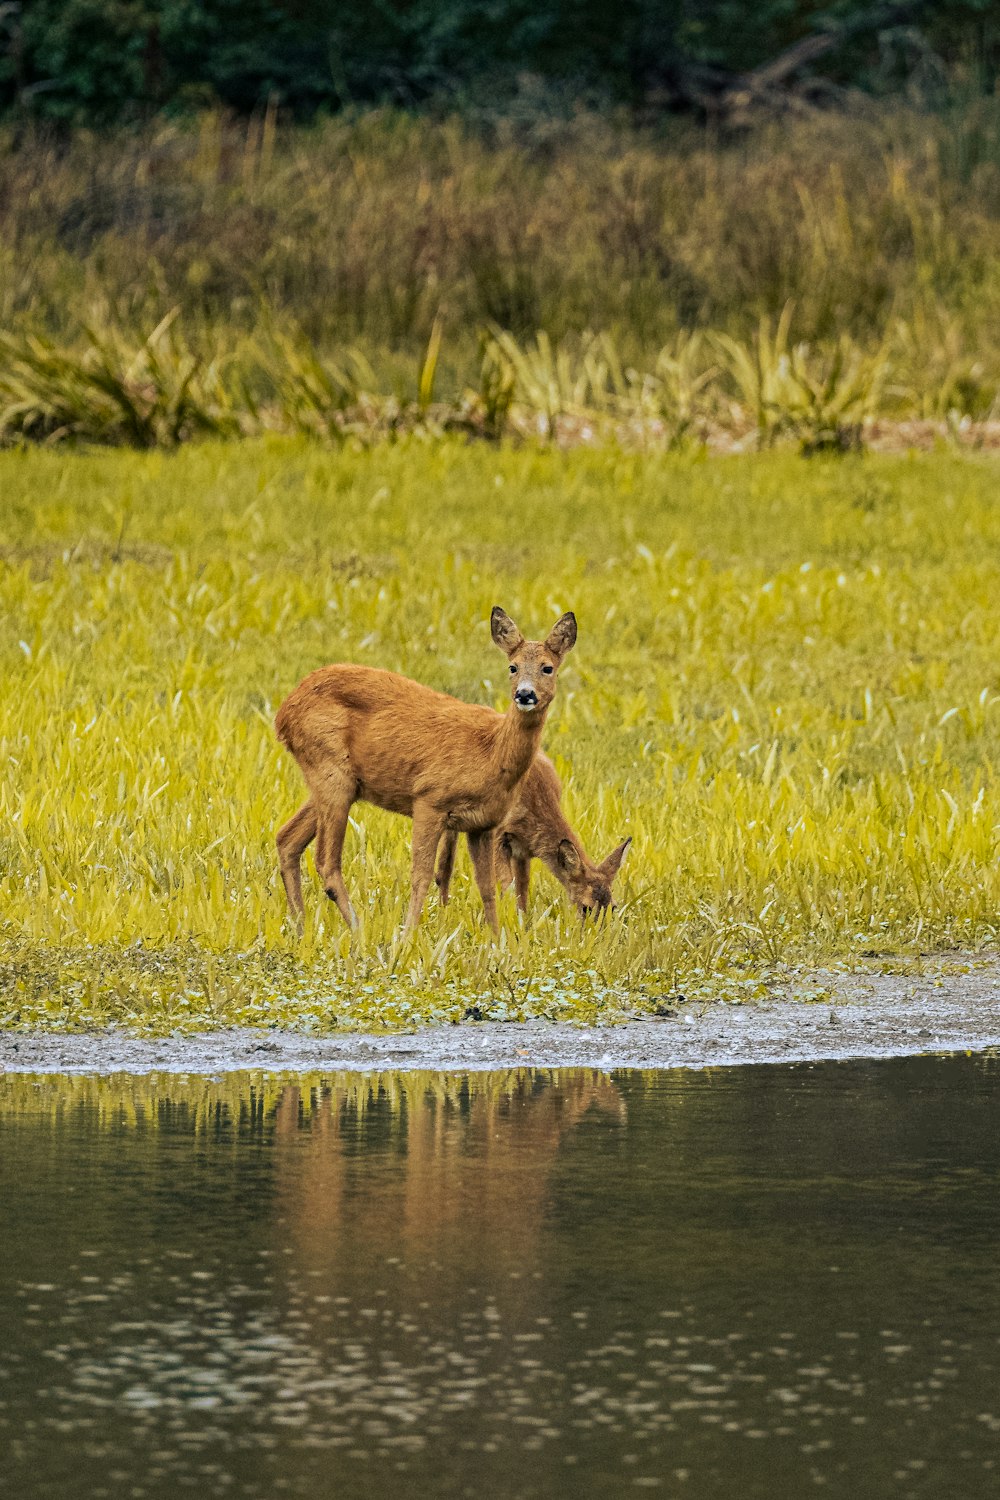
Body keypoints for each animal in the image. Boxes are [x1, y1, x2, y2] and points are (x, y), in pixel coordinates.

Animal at [274, 603, 578, 930]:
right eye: (513, 667)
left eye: (548, 668)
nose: (525, 694)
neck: (490, 752)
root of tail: (283, 713)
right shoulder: (428, 798)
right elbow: (420, 877)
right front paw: (407, 934)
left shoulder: (483, 824)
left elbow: (487, 889)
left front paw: (497, 938)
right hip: (330, 770)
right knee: (326, 862)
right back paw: (357, 930)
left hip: (337, 781)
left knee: (287, 838)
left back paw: (300, 926)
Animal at [434, 756, 629, 918]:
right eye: (586, 907)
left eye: (613, 907)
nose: (598, 937)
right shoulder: (498, 835)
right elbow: (507, 885)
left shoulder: (523, 849)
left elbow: (522, 888)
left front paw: (522, 922)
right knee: (445, 863)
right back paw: (443, 910)